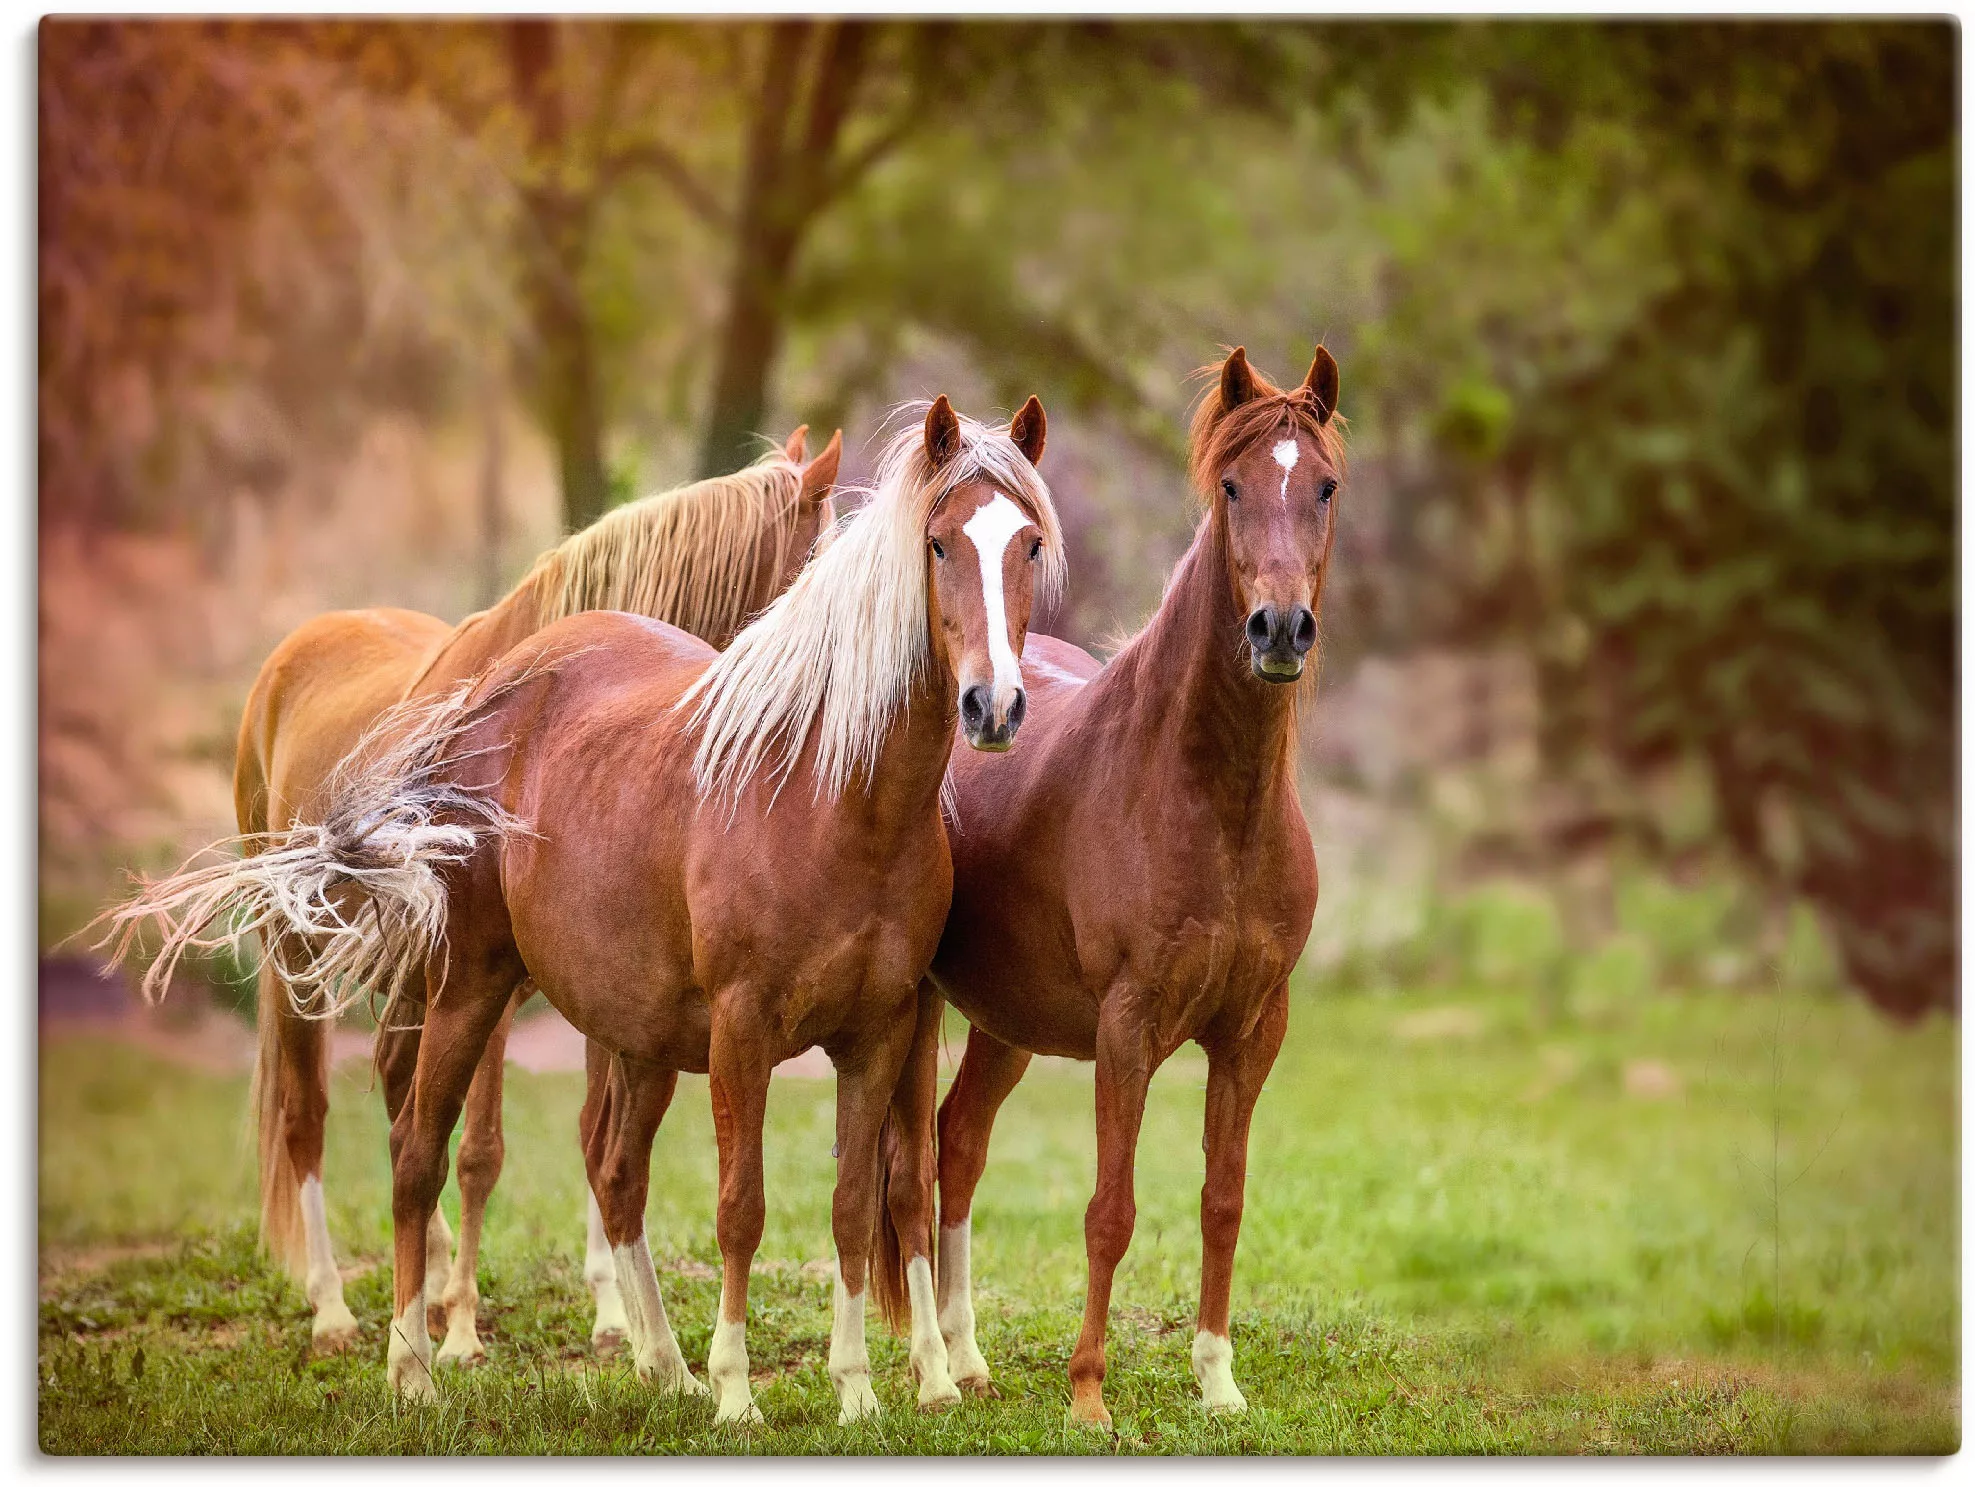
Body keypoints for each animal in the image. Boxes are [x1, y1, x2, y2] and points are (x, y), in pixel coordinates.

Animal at [104, 426, 837, 1358]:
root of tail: (295, 650)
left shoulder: (597, 977)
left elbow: (585, 1135)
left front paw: (613, 1320)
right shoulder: (488, 975)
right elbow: (481, 1147)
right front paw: (457, 1329)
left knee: (394, 1092)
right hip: (300, 952)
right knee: (309, 1113)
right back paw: (338, 1307)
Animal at [880, 345, 1343, 1429]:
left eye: (1324, 486)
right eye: (1230, 486)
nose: (1279, 628)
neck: (1209, 801)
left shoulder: (1253, 1029)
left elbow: (1222, 1199)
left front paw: (1217, 1379)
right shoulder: (1127, 1029)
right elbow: (1111, 1207)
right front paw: (1088, 1393)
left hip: (1007, 1021)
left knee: (959, 1142)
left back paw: (970, 1359)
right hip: (916, 1009)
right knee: (909, 1171)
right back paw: (932, 1371)